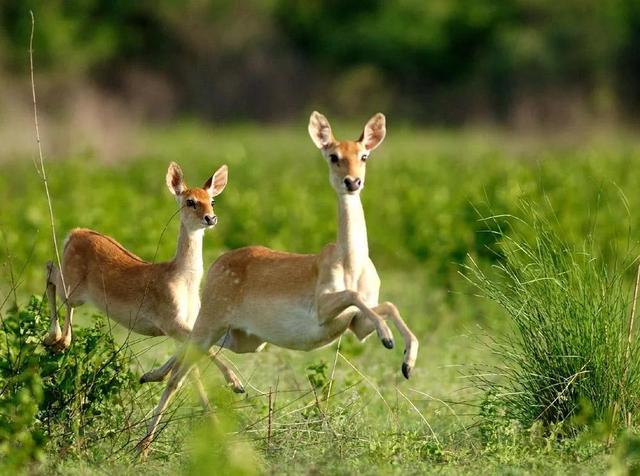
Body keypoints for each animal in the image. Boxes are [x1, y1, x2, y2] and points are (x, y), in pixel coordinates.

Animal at [42, 162, 242, 392]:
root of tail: (73, 234)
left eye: (212, 201)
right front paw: (236, 383)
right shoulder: (170, 320)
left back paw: (54, 342)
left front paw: (150, 376)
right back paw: (56, 339)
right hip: (72, 285)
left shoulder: (187, 323)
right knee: (52, 273)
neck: (183, 280)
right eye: (190, 201)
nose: (210, 218)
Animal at [139, 112, 420, 458]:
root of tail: (218, 263)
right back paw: (143, 445)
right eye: (333, 155)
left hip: (243, 338)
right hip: (213, 323)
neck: (350, 263)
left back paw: (154, 377)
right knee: (179, 375)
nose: (352, 182)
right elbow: (356, 296)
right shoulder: (325, 309)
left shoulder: (356, 324)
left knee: (189, 350)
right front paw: (389, 340)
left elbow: (386, 306)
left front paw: (406, 361)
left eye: (364, 155)